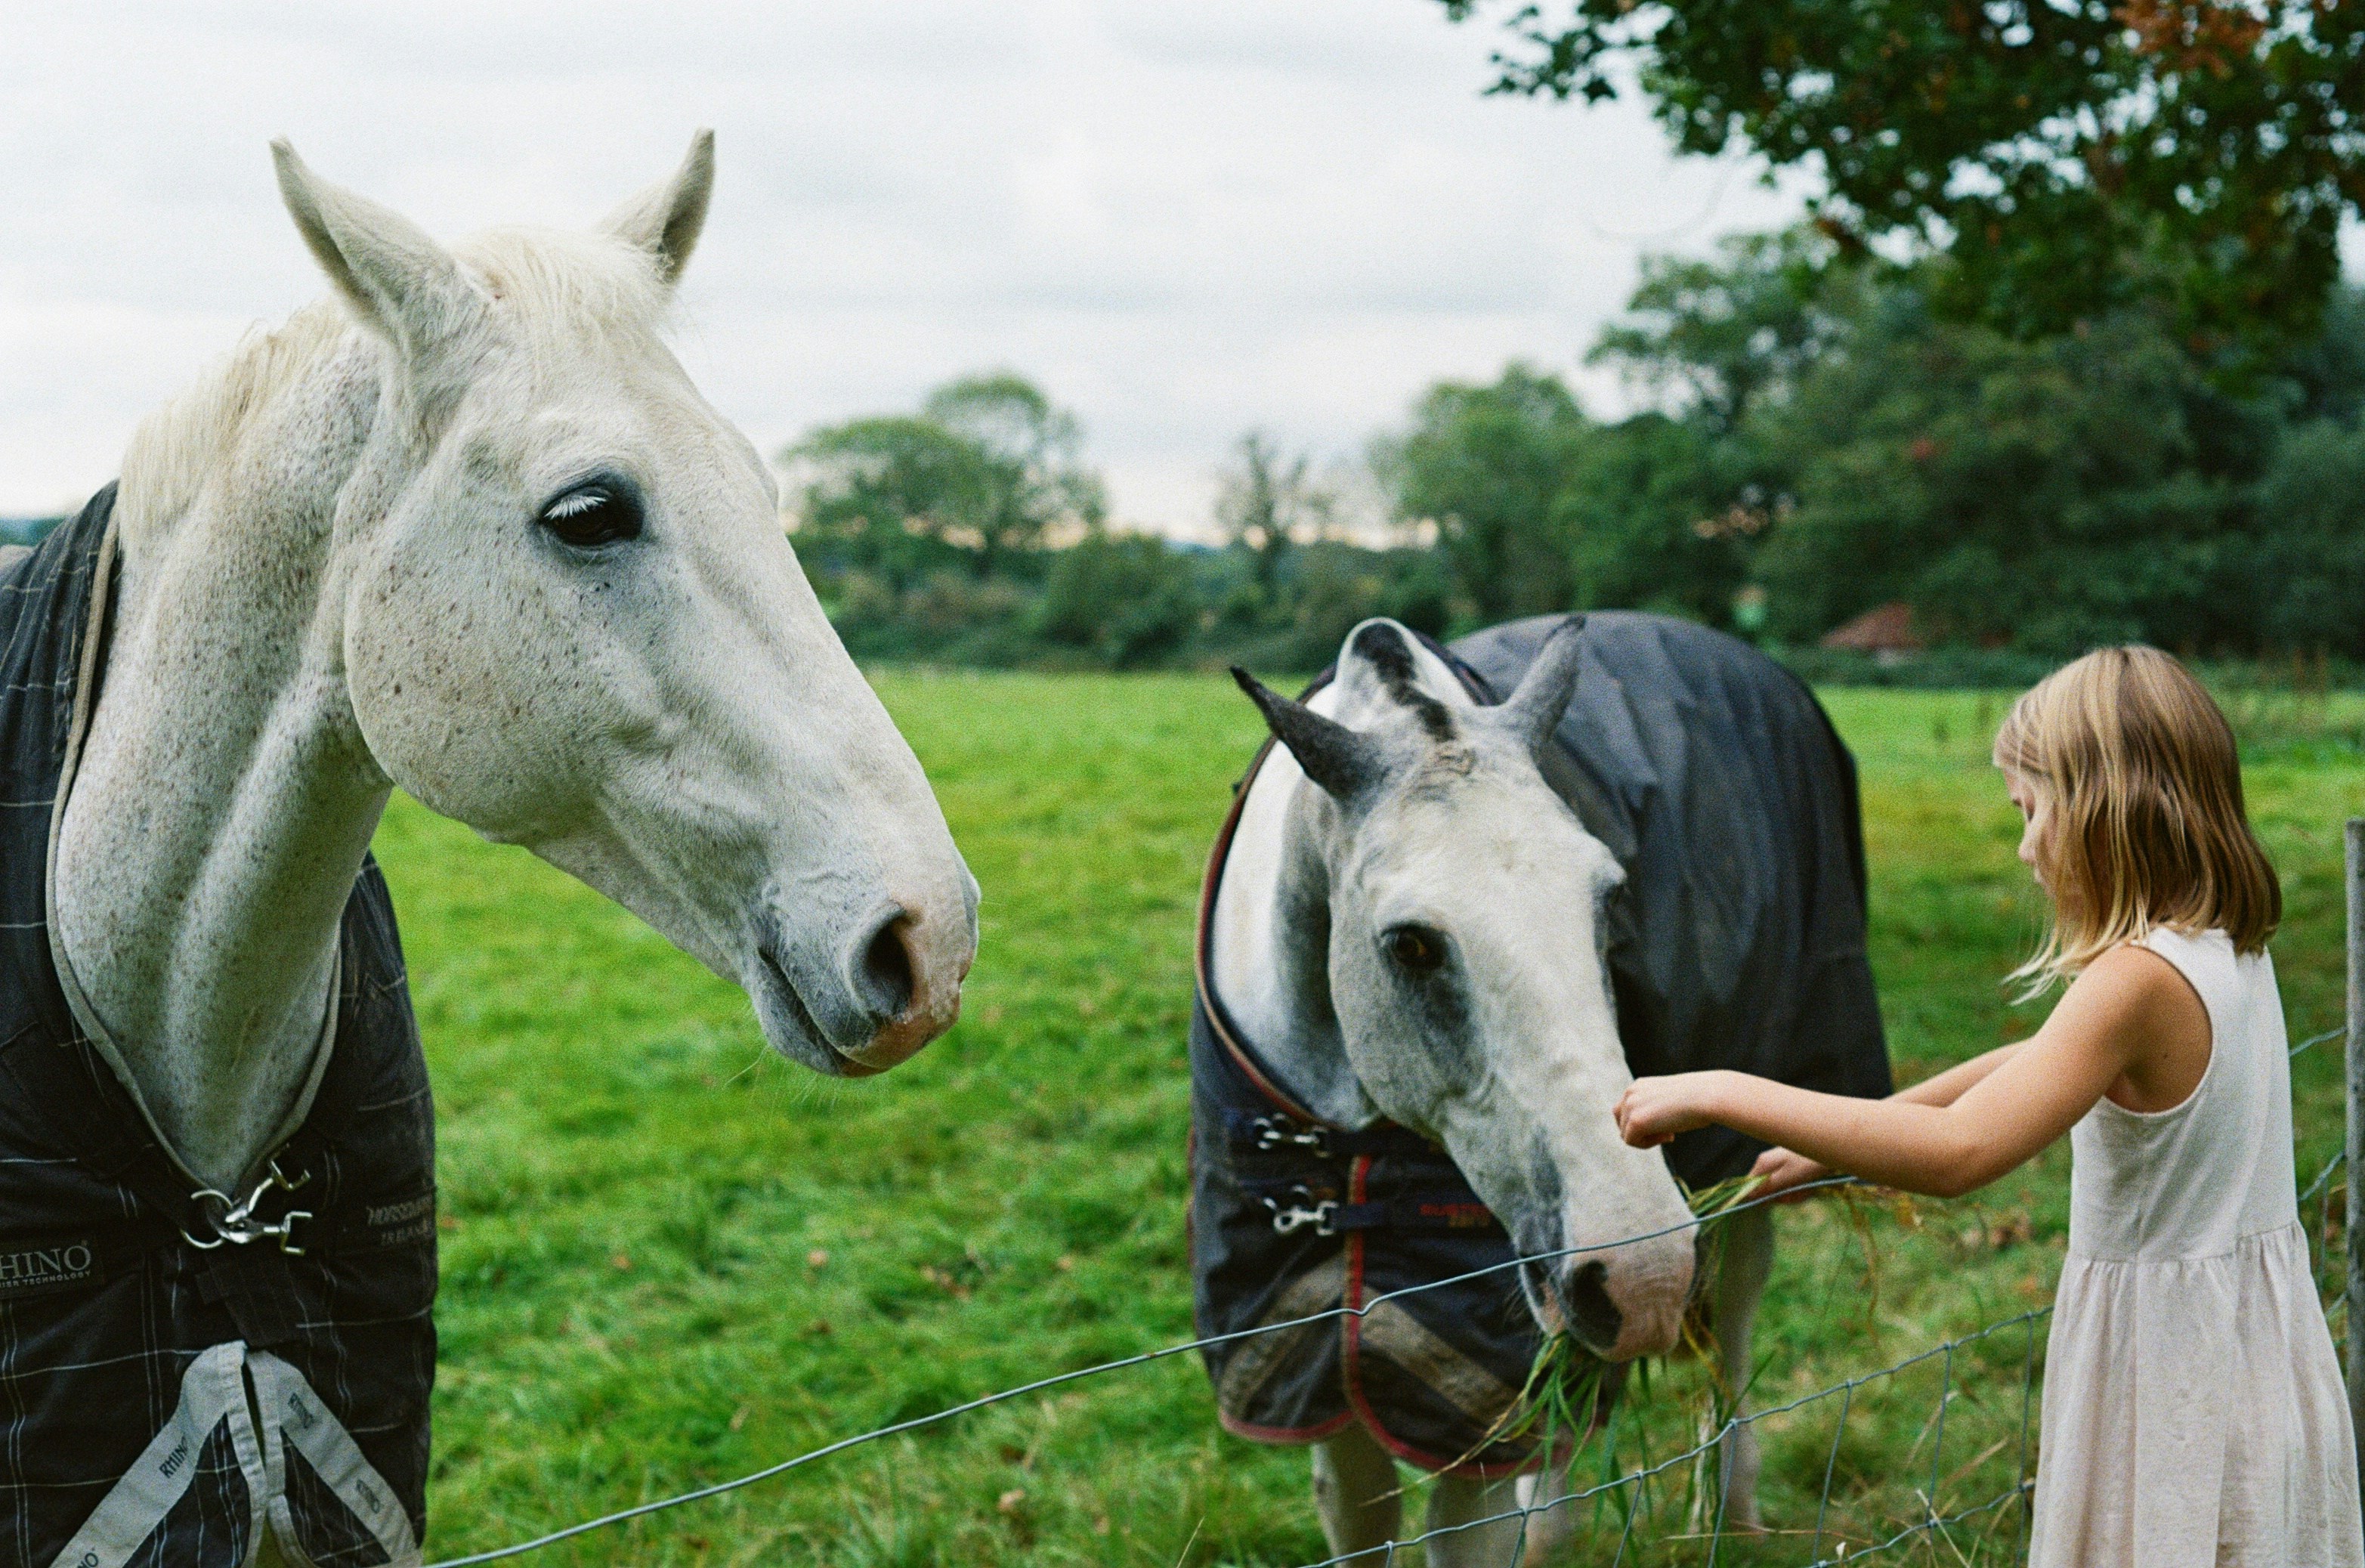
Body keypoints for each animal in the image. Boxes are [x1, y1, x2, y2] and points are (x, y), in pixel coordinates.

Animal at [1190, 614, 1889, 1562]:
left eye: (1608, 898)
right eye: (1410, 943)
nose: (1642, 1274)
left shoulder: (1475, 1404)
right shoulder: (1318, 1369)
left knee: (1734, 1318)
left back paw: (1726, 1506)